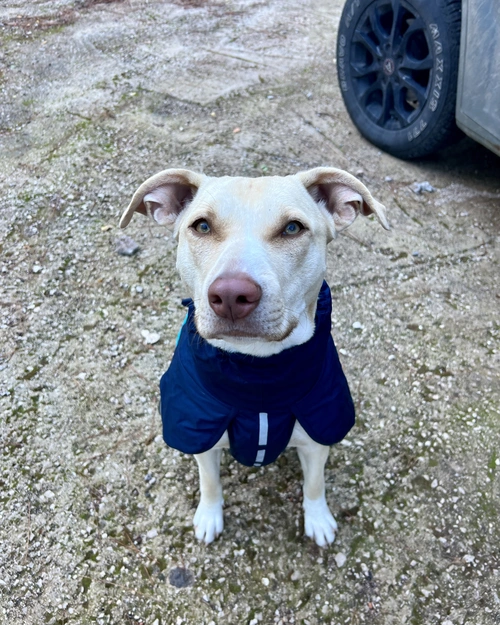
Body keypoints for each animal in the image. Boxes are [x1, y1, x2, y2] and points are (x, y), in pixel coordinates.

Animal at [120, 167, 386, 544]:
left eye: (292, 228)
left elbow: (315, 483)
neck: (257, 376)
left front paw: (318, 519)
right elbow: (210, 481)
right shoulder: (201, 433)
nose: (231, 295)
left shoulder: (318, 433)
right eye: (202, 226)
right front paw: (209, 515)